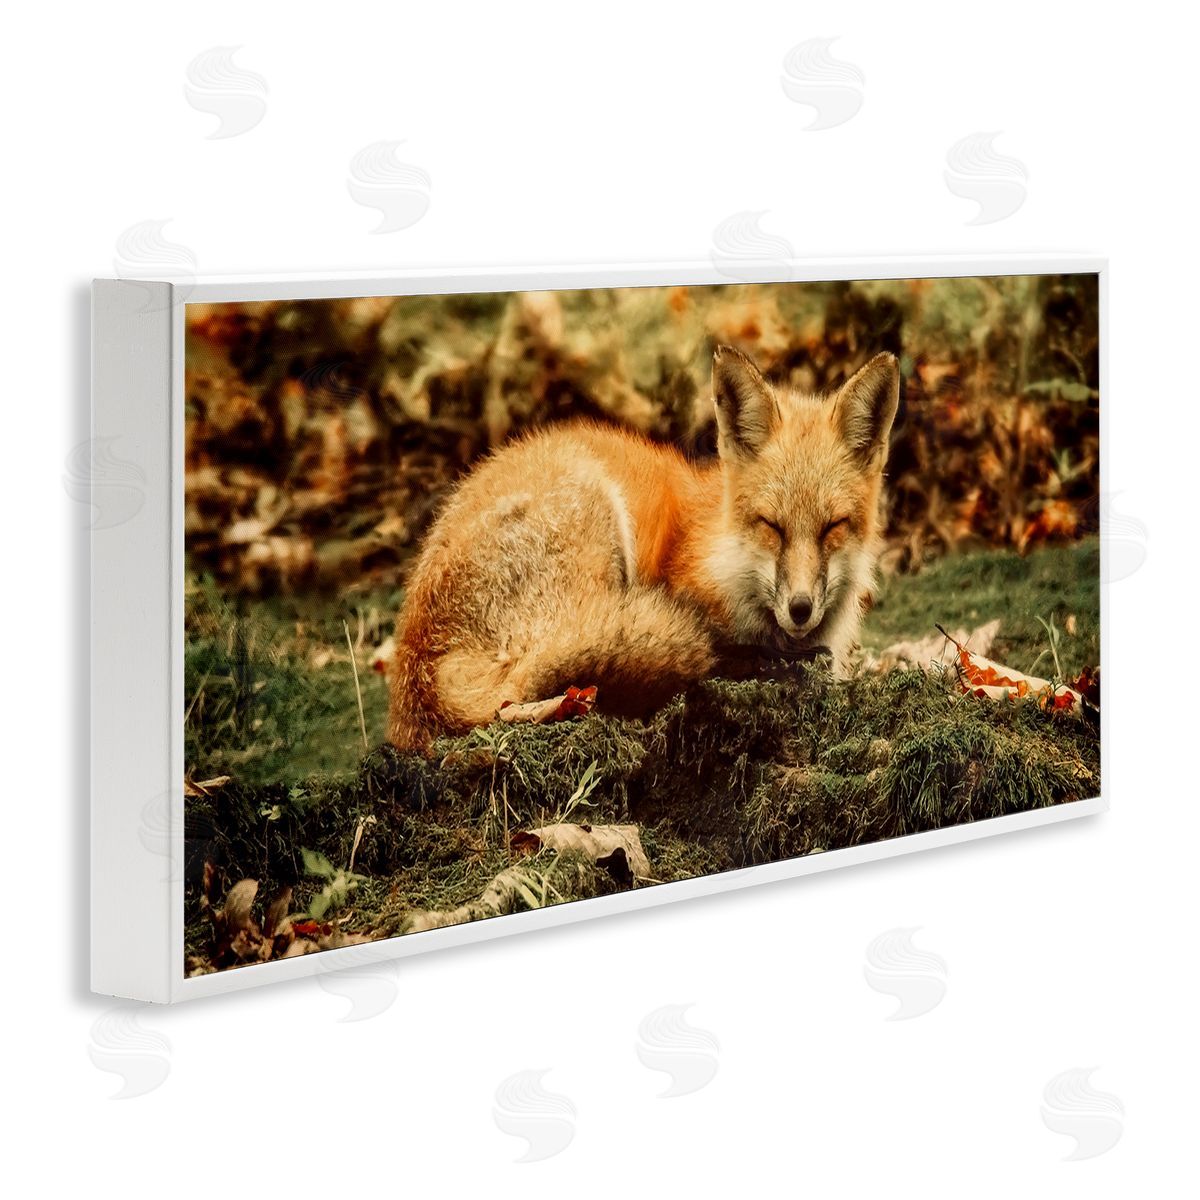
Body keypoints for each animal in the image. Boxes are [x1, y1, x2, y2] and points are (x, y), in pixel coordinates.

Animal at [387, 345, 900, 752]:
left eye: (832, 526)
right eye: (771, 525)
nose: (800, 608)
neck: (726, 561)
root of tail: (417, 668)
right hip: (594, 512)